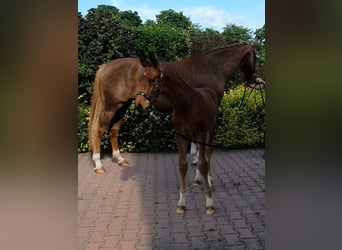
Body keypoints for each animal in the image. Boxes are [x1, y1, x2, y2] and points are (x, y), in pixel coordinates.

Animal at [88, 42, 256, 173]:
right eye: (256, 57)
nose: (251, 79)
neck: (213, 68)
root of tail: (106, 66)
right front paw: (197, 158)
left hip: (122, 106)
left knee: (114, 130)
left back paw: (120, 159)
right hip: (110, 107)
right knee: (99, 130)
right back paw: (98, 164)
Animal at [136, 57, 218, 214]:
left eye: (152, 79)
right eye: (139, 79)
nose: (139, 104)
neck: (185, 104)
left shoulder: (201, 133)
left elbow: (203, 163)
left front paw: (209, 203)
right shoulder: (180, 136)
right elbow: (182, 165)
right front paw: (181, 203)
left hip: (210, 131)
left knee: (207, 153)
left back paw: (209, 180)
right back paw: (197, 179)